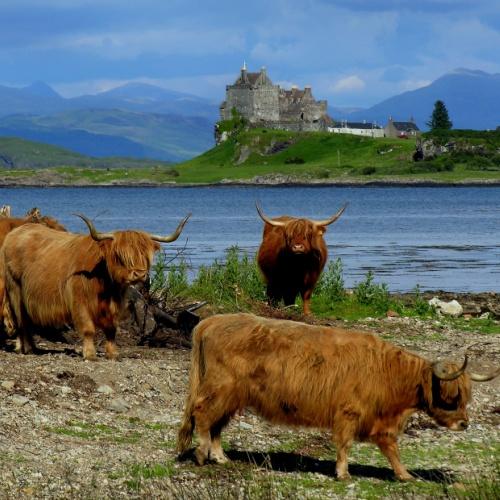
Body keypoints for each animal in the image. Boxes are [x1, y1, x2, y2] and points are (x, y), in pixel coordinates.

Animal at [1, 213, 189, 362]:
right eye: (120, 255)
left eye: (144, 255)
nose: (139, 274)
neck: (105, 284)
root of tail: (17, 231)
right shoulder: (79, 302)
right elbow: (88, 329)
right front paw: (90, 354)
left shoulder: (115, 306)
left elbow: (111, 329)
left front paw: (113, 354)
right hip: (15, 289)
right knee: (20, 319)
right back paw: (24, 348)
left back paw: (30, 347)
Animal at [178, 312, 498, 480]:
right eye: (451, 397)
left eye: (466, 397)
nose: (464, 424)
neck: (388, 373)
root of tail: (211, 321)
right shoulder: (349, 412)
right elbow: (345, 443)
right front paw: (343, 473)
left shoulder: (380, 420)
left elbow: (390, 447)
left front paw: (404, 474)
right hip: (220, 389)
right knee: (202, 415)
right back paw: (202, 454)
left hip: (233, 397)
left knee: (217, 425)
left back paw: (221, 457)